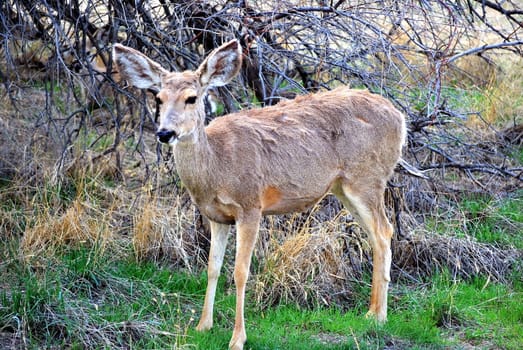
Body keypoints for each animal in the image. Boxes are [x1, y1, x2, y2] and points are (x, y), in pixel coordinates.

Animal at [113, 39, 410, 350]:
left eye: (192, 98)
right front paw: (202, 326)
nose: (165, 133)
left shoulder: (250, 206)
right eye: (158, 98)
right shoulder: (216, 216)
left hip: (367, 178)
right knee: (376, 234)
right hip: (344, 188)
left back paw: (379, 316)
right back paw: (371, 312)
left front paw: (237, 338)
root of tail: (400, 118)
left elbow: (240, 272)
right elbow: (212, 268)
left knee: (383, 231)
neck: (216, 166)